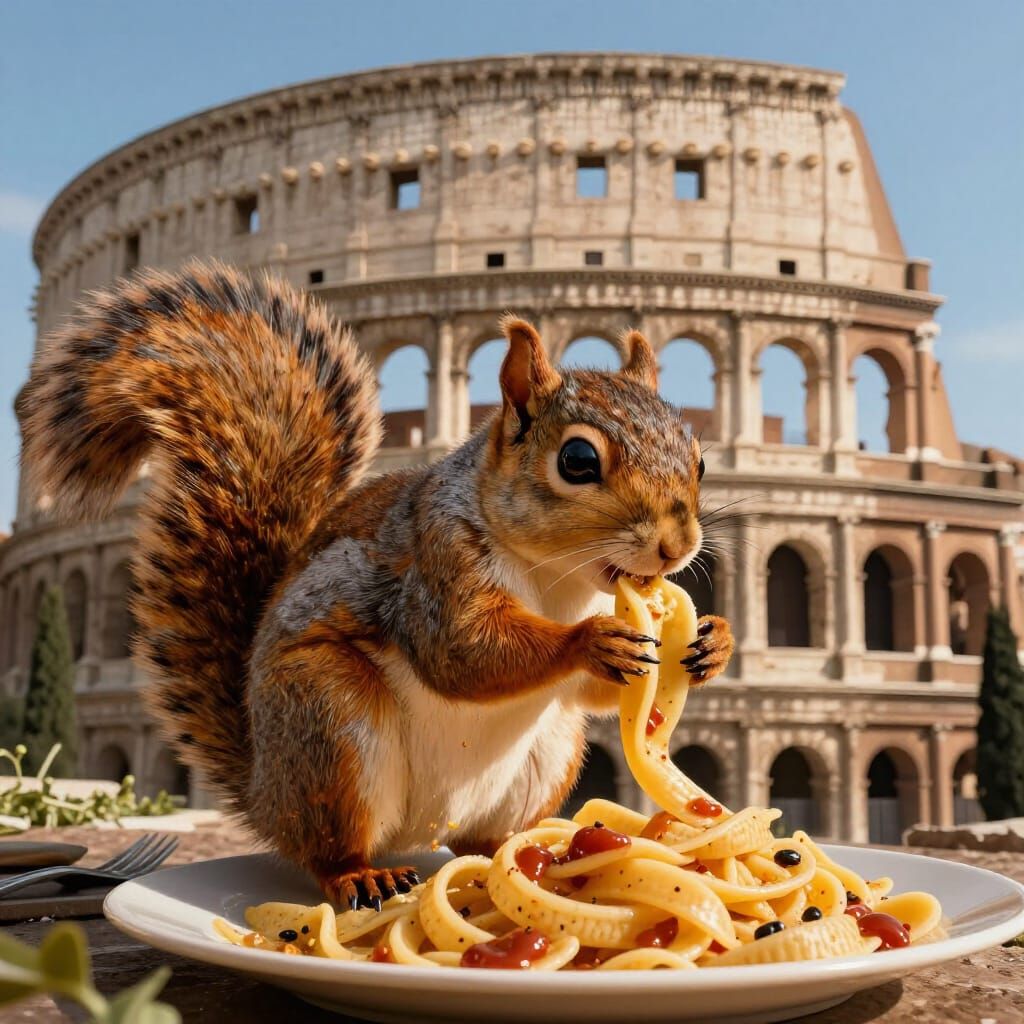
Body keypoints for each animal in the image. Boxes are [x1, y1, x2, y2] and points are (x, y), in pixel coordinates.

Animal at [21, 260, 735, 911]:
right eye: (578, 460)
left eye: (700, 459)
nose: (677, 545)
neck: (557, 578)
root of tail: (263, 794)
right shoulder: (437, 564)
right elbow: (464, 653)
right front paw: (590, 641)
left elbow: (590, 693)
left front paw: (713, 642)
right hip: (329, 723)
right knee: (330, 848)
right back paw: (362, 877)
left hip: (548, 755)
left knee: (476, 840)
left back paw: (517, 856)